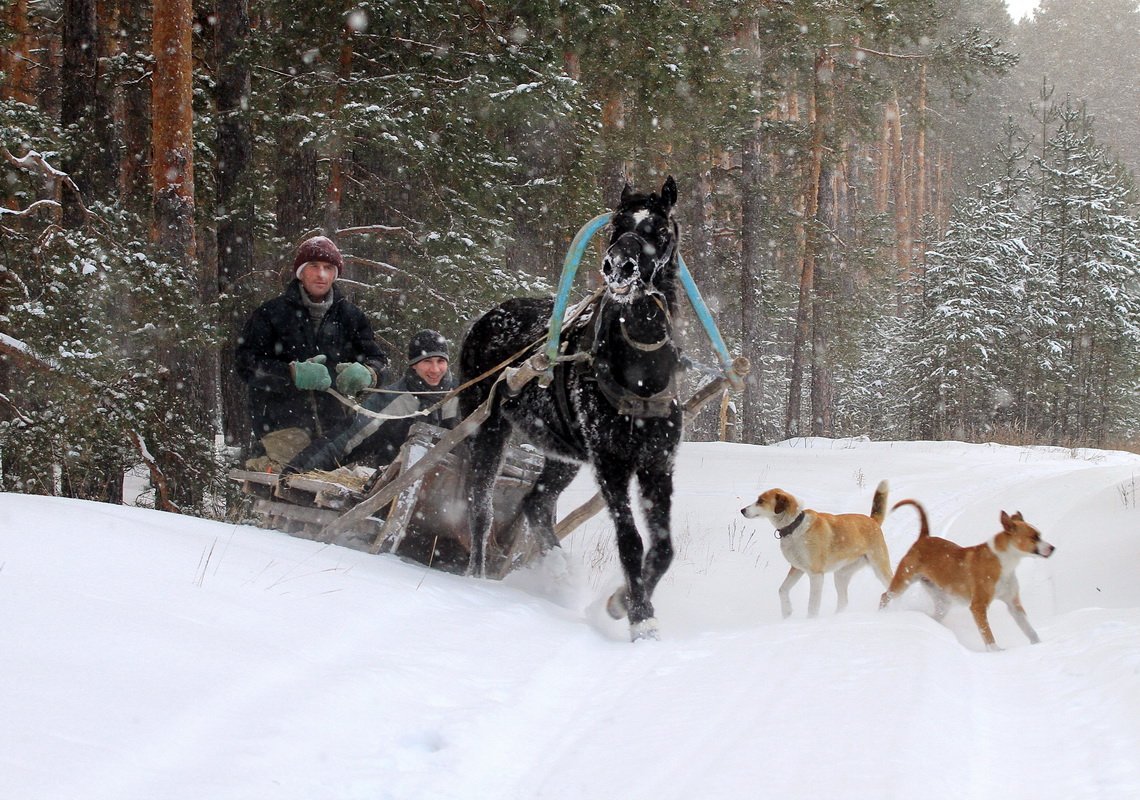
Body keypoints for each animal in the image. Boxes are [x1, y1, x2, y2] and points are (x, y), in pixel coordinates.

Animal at [456, 178, 684, 642]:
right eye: (616, 225)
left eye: (657, 229)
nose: (618, 267)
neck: (640, 374)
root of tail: (485, 318)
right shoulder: (611, 464)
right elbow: (631, 542)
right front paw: (640, 617)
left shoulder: (658, 463)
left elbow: (664, 547)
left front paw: (622, 603)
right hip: (488, 429)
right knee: (480, 504)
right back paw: (477, 576)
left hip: (563, 456)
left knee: (536, 504)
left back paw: (558, 569)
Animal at [743, 483, 893, 619]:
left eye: (760, 501)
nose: (742, 510)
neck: (794, 526)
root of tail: (873, 520)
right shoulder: (797, 568)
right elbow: (782, 590)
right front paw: (787, 611)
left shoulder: (816, 574)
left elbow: (812, 605)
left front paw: (811, 620)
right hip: (840, 575)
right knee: (843, 601)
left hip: (880, 567)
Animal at [880, 501, 1057, 651]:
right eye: (1034, 537)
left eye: (1039, 534)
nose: (1053, 548)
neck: (1003, 562)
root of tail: (924, 537)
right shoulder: (978, 606)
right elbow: (987, 633)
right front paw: (996, 651)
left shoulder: (1013, 603)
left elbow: (1029, 629)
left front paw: (1039, 644)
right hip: (904, 580)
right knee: (885, 596)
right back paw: (881, 614)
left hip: (942, 602)